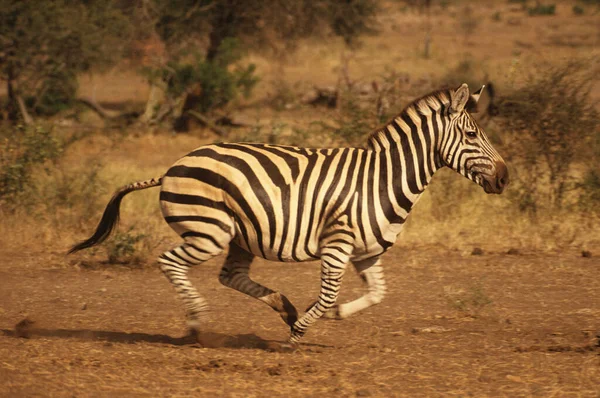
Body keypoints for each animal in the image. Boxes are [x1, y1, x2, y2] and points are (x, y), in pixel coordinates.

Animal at [71, 83, 510, 346]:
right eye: (472, 135)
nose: (505, 177)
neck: (383, 179)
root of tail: (171, 167)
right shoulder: (338, 243)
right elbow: (331, 290)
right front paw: (302, 330)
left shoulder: (367, 252)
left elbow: (377, 293)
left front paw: (334, 314)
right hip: (209, 231)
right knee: (170, 262)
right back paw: (197, 323)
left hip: (239, 235)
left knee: (230, 276)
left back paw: (283, 306)